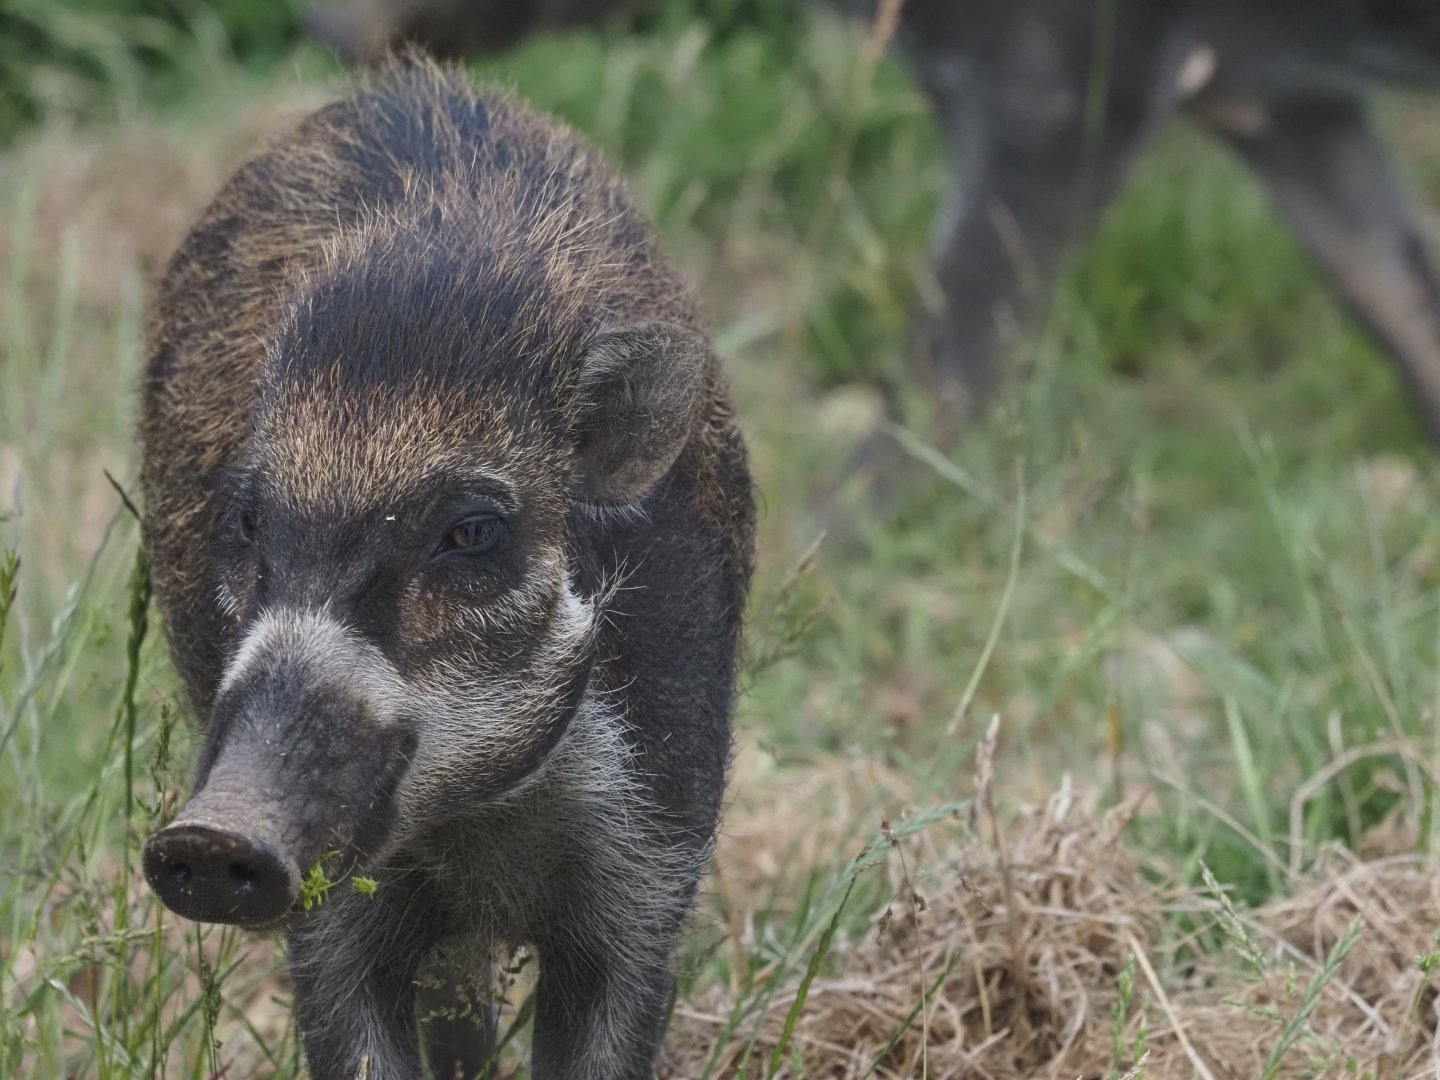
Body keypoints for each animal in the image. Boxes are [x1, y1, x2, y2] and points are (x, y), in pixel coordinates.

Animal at [139, 58, 755, 1080]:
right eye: (249, 522)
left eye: (470, 532)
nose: (212, 830)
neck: (484, 819)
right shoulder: (334, 925)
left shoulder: (652, 869)